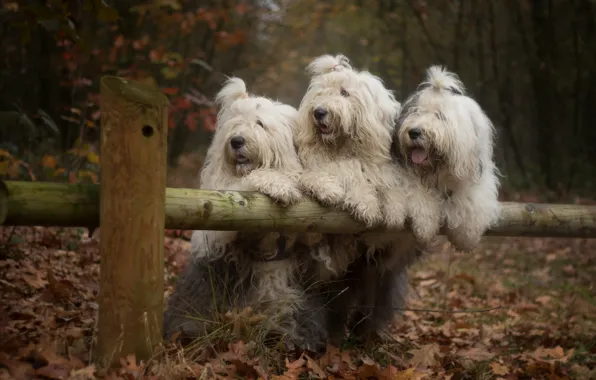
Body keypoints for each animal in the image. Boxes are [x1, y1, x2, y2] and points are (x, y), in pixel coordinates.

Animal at [165, 76, 328, 350]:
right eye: (234, 125)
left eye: (260, 124)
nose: (236, 141)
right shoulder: (218, 217)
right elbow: (242, 188)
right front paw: (279, 184)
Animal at [394, 65, 500, 252]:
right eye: (416, 112)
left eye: (440, 115)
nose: (414, 132)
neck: (438, 171)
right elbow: (417, 193)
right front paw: (425, 224)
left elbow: (470, 201)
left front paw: (466, 238)